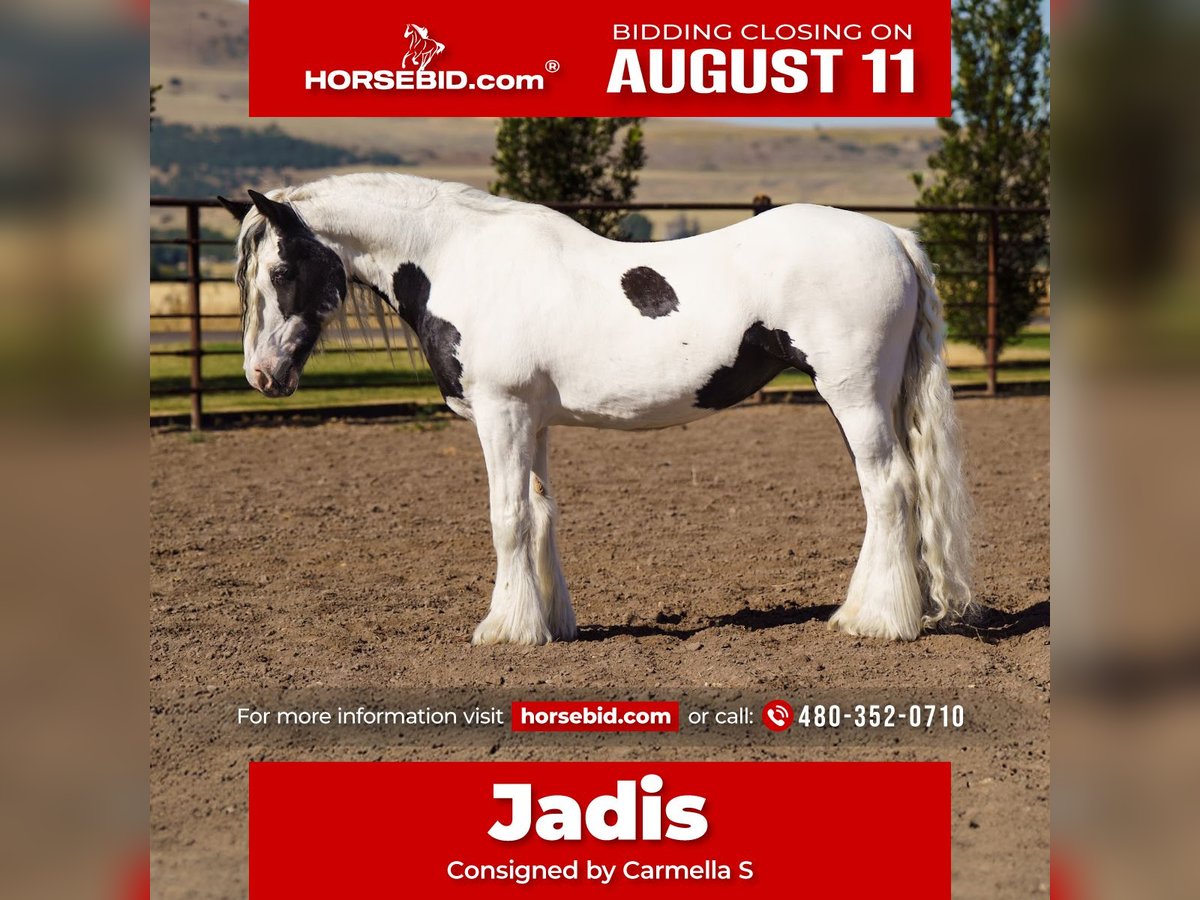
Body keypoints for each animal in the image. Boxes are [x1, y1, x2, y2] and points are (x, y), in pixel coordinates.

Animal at [217, 173, 973, 646]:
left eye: (281, 271)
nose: (262, 375)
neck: (462, 259)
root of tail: (896, 239)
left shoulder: (502, 415)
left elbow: (508, 518)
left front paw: (504, 630)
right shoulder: (533, 422)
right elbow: (541, 513)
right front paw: (548, 622)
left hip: (853, 395)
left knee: (888, 489)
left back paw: (879, 621)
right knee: (890, 492)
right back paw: (865, 612)